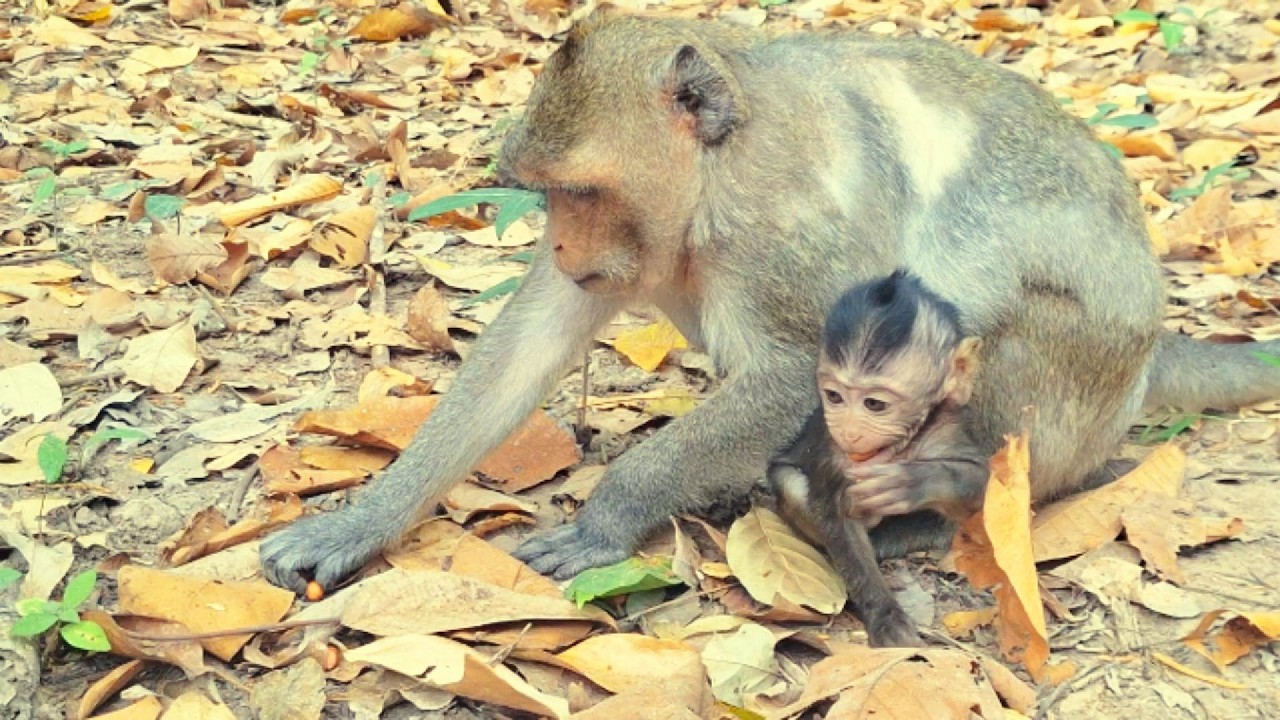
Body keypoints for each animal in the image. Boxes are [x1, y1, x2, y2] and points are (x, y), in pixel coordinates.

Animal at [259, 7, 1280, 594]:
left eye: (579, 192)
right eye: (544, 196)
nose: (560, 244)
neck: (715, 178)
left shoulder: (778, 229)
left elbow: (804, 369)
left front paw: (604, 519)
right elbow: (524, 349)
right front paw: (366, 517)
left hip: (1085, 384)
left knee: (997, 340)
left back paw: (926, 510)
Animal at [768, 270, 983, 647]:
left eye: (874, 404)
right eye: (834, 397)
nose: (850, 431)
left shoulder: (946, 426)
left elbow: (985, 478)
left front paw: (909, 481)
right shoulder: (834, 452)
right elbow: (838, 519)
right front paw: (886, 616)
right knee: (791, 482)